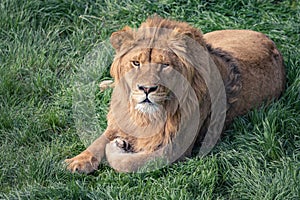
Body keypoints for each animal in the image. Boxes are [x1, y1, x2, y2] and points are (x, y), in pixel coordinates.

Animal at [65, 16, 286, 173]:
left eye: (165, 65)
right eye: (136, 63)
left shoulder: (176, 149)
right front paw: (77, 162)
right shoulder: (122, 120)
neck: (147, 115)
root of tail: (271, 42)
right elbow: (98, 141)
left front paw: (119, 146)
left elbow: (134, 162)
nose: (146, 89)